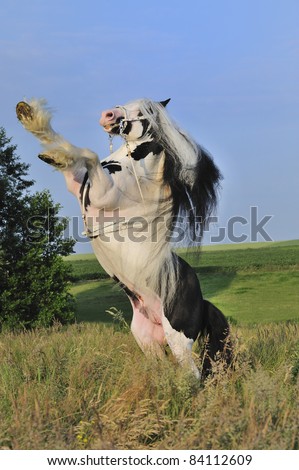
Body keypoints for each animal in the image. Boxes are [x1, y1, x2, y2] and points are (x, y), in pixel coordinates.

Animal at [15, 97, 232, 380]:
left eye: (143, 112)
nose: (107, 115)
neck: (135, 170)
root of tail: (202, 301)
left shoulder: (102, 195)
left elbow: (90, 155)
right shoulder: (79, 187)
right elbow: (75, 157)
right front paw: (34, 122)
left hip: (179, 340)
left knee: (194, 377)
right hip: (147, 339)